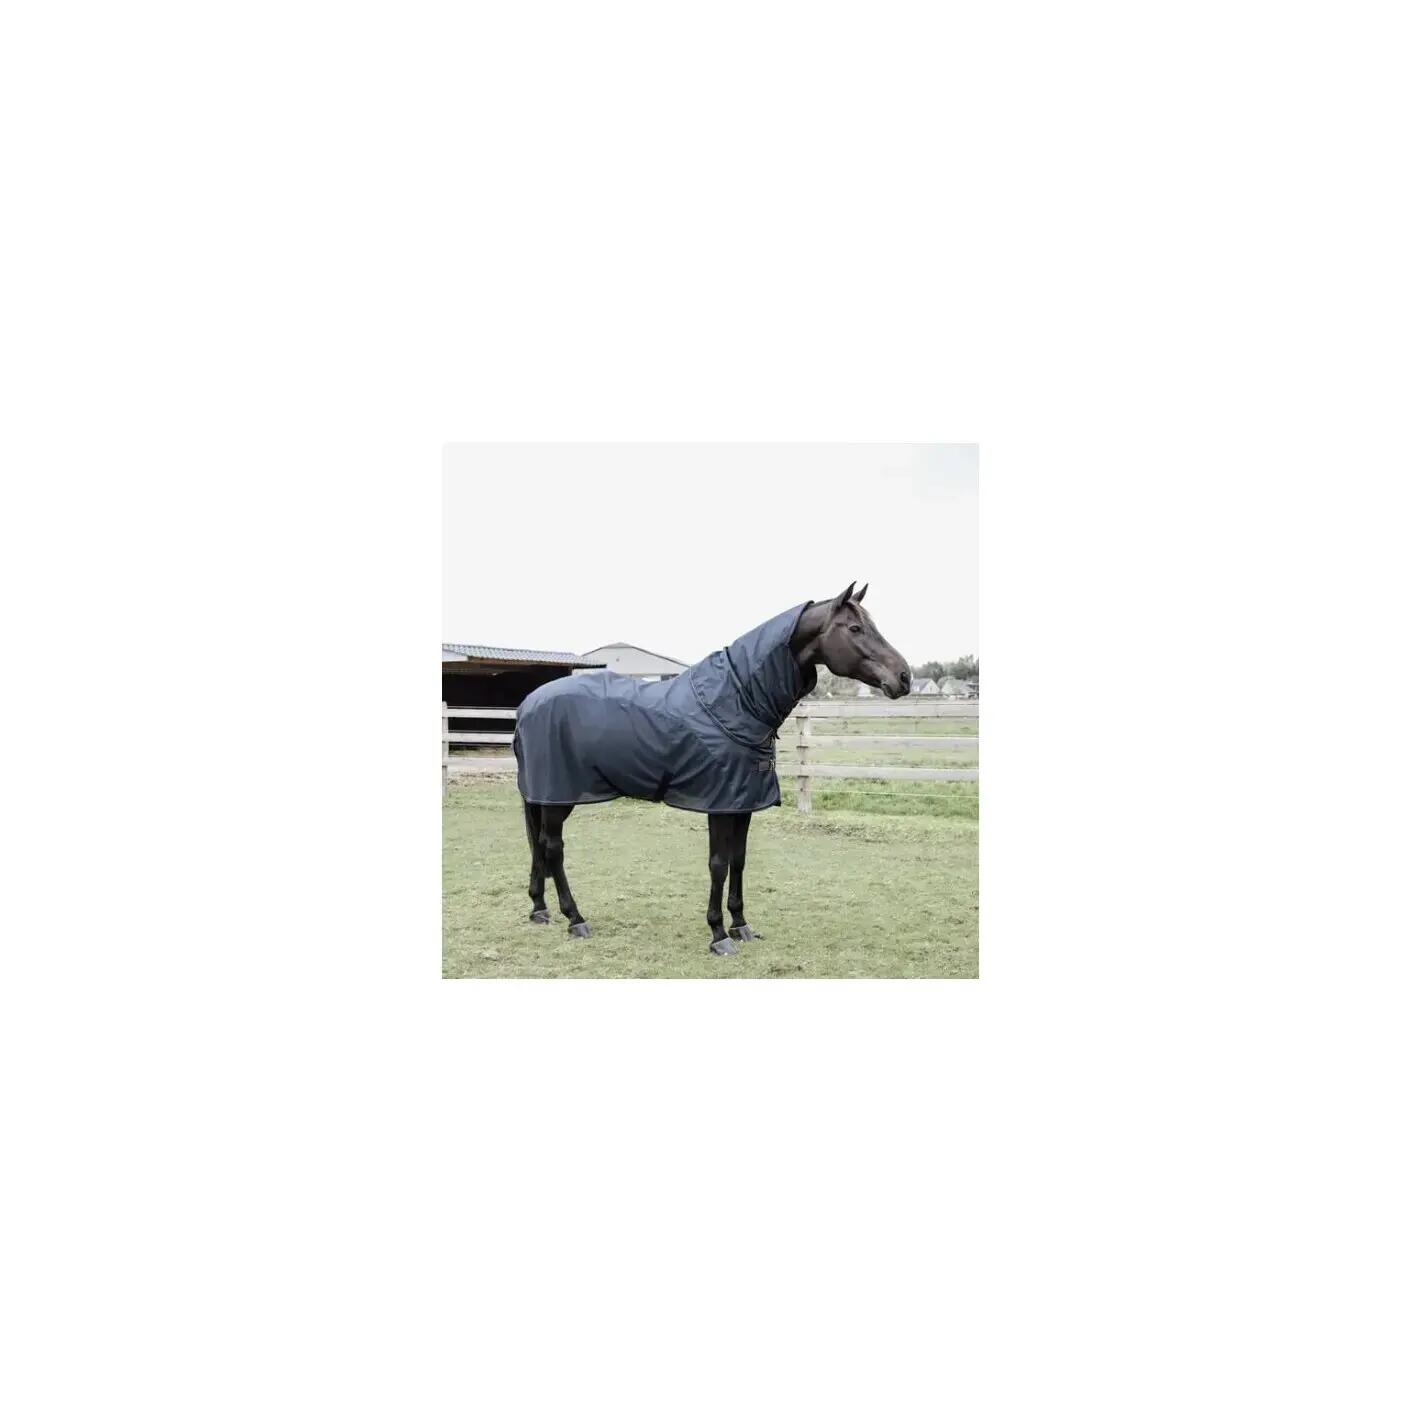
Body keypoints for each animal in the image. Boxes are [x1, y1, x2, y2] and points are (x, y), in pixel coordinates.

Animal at [513, 583, 912, 954]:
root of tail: (528, 704)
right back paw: (575, 918)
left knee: (538, 845)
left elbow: (739, 860)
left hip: (544, 796)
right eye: (855, 628)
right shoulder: (719, 804)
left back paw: (540, 909)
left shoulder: (743, 804)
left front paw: (741, 925)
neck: (734, 702)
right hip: (558, 795)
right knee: (552, 847)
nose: (904, 677)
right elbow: (718, 863)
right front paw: (719, 934)